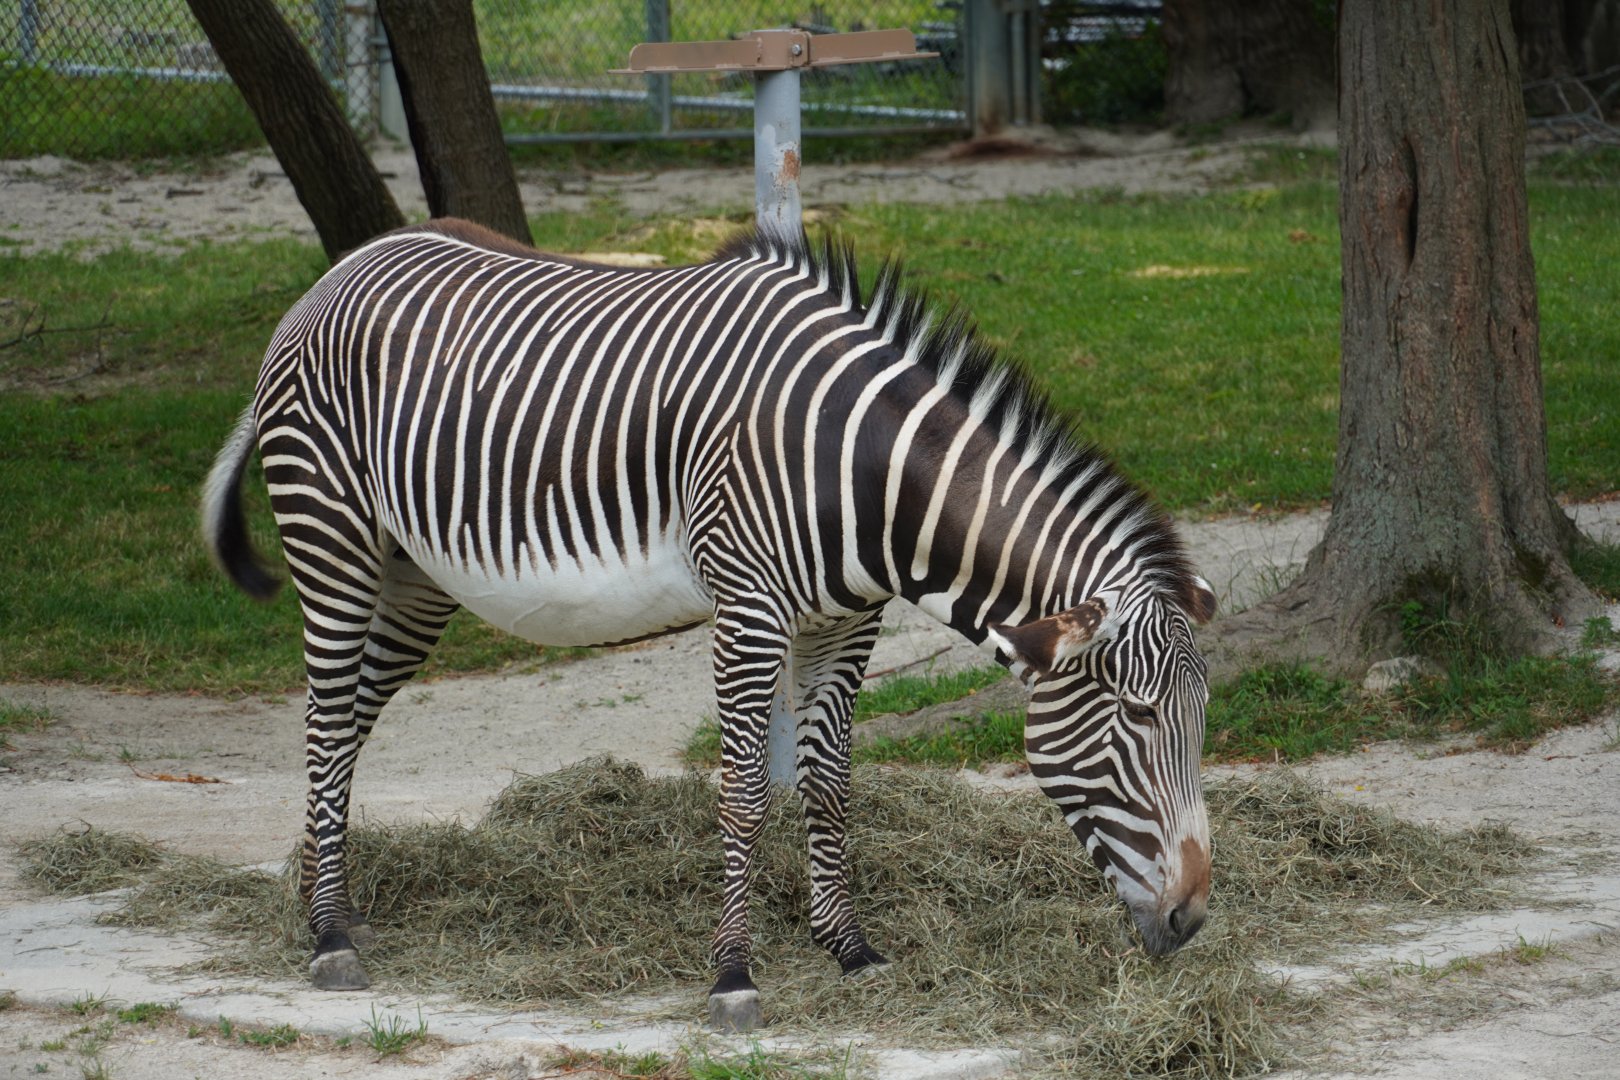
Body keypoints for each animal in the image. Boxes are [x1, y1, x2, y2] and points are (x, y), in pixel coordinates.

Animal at [201, 218, 1218, 1032]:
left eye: (1202, 721)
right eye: (1137, 718)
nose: (1194, 918)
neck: (868, 476)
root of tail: (341, 266)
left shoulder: (846, 623)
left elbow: (831, 785)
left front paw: (851, 949)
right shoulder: (750, 609)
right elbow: (743, 794)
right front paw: (733, 978)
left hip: (415, 580)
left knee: (347, 724)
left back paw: (322, 900)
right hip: (332, 538)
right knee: (323, 721)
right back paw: (329, 939)